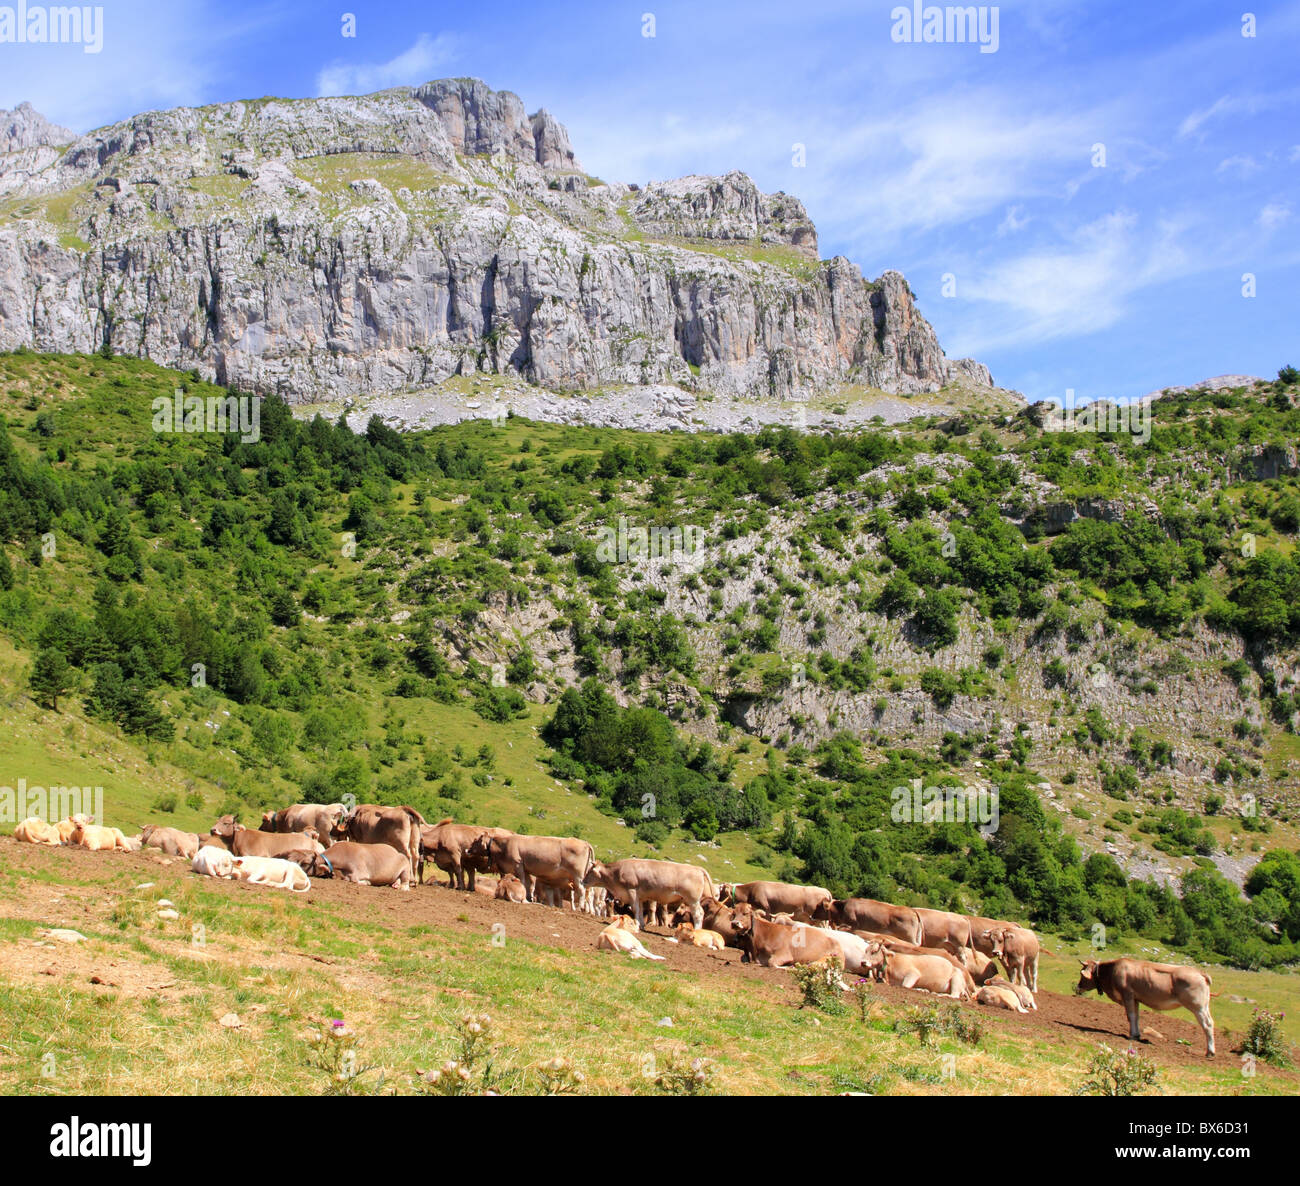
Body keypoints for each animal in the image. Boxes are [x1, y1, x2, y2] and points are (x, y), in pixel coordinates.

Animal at [587, 858, 717, 931]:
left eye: (590, 871)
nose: (583, 881)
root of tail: (698, 868)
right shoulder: (639, 897)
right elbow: (639, 910)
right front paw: (641, 924)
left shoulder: (632, 891)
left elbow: (635, 909)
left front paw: (637, 923)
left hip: (693, 900)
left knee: (698, 914)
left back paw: (697, 930)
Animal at [1071, 951, 1211, 1055]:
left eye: (1081, 973)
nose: (1078, 988)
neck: (1112, 971)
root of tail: (1199, 972)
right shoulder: (1135, 998)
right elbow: (1136, 1016)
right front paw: (1137, 1034)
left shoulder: (1127, 995)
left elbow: (1130, 1016)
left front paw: (1132, 1035)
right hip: (1204, 1006)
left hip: (1197, 1006)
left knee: (1207, 1024)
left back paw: (1210, 1052)